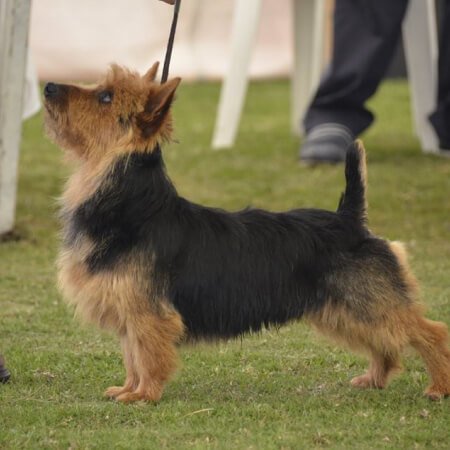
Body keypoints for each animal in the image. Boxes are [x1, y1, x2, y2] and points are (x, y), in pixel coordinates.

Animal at [44, 62, 450, 400]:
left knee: (429, 331)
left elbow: (148, 357)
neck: (132, 202)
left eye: (105, 97)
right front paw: (128, 389)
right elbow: (132, 356)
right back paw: (375, 379)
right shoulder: (130, 310)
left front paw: (144, 395)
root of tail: (351, 219)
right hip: (345, 310)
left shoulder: (148, 314)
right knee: (386, 342)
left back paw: (439, 387)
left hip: (370, 301)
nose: (48, 85)